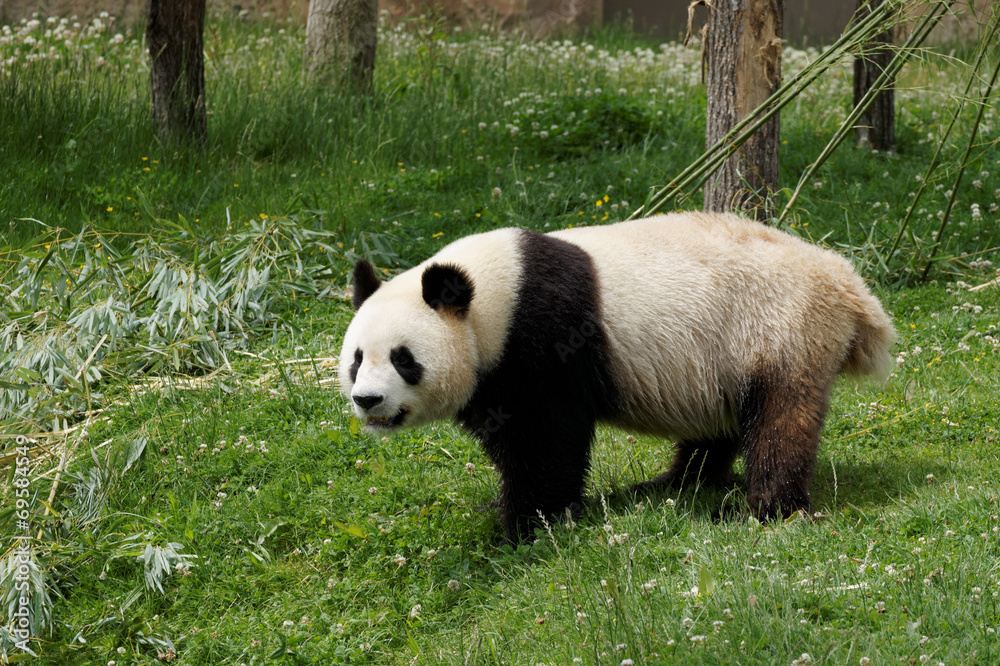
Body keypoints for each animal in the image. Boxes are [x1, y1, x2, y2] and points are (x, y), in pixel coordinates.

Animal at [339, 212, 895, 541]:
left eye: (404, 359)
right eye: (357, 359)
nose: (368, 401)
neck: (493, 296)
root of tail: (849, 286)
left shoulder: (541, 337)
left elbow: (545, 438)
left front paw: (527, 525)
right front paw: (501, 506)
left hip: (778, 330)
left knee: (779, 418)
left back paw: (765, 509)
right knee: (721, 422)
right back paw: (678, 481)